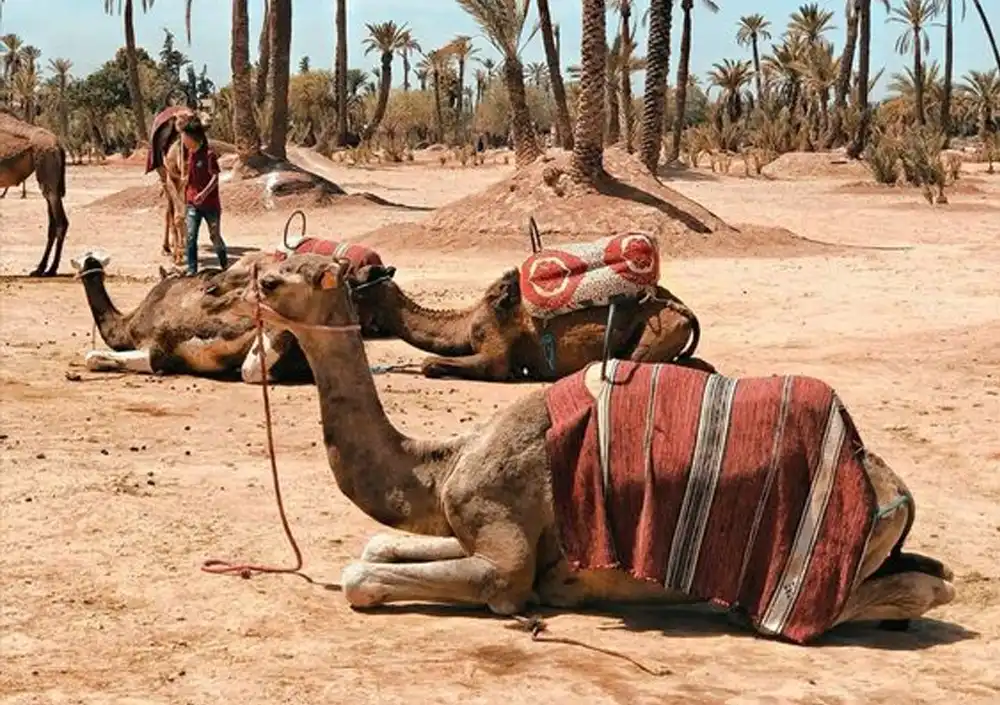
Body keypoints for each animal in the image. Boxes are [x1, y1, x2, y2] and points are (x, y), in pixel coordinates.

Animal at [0, 109, 69, 276]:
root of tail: (58, 144)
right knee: (53, 223)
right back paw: (41, 268)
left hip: (47, 169)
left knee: (60, 222)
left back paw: (50, 269)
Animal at [223, 253, 956, 644]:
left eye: (288, 277)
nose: (251, 282)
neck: (442, 464)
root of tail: (892, 488)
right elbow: (377, 545)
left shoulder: (506, 560)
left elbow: (368, 576)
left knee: (914, 592)